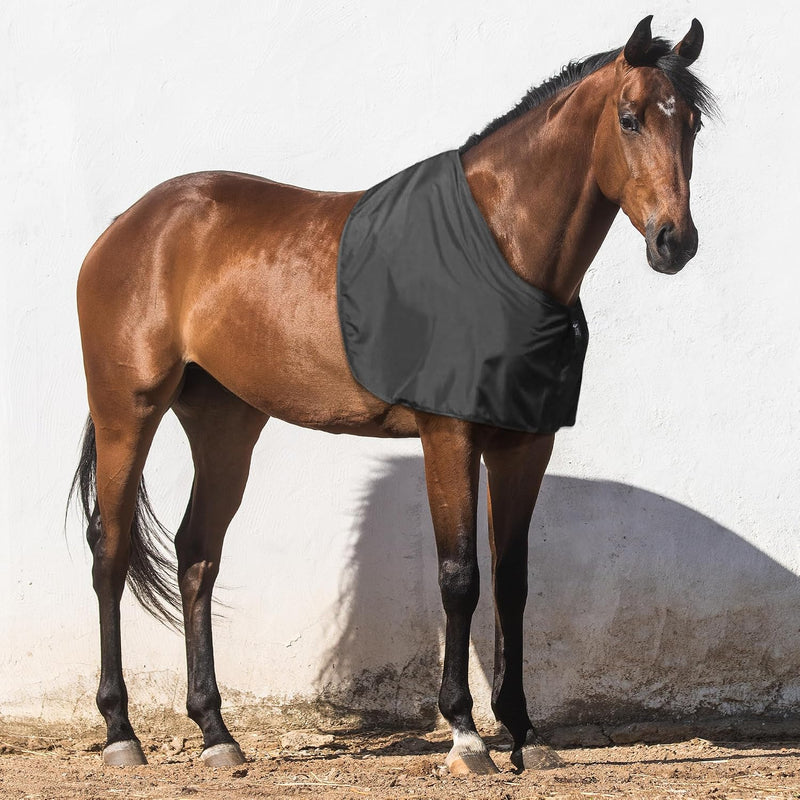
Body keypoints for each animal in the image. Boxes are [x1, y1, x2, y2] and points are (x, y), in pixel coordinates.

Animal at [70, 15, 714, 775]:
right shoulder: (449, 435)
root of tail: (132, 222)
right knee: (110, 551)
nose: (675, 242)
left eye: (694, 123)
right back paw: (121, 732)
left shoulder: (525, 445)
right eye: (629, 118)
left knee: (197, 553)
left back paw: (217, 733)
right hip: (127, 412)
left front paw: (523, 732)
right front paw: (466, 733)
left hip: (225, 424)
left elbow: (514, 582)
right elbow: (460, 577)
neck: (503, 247)